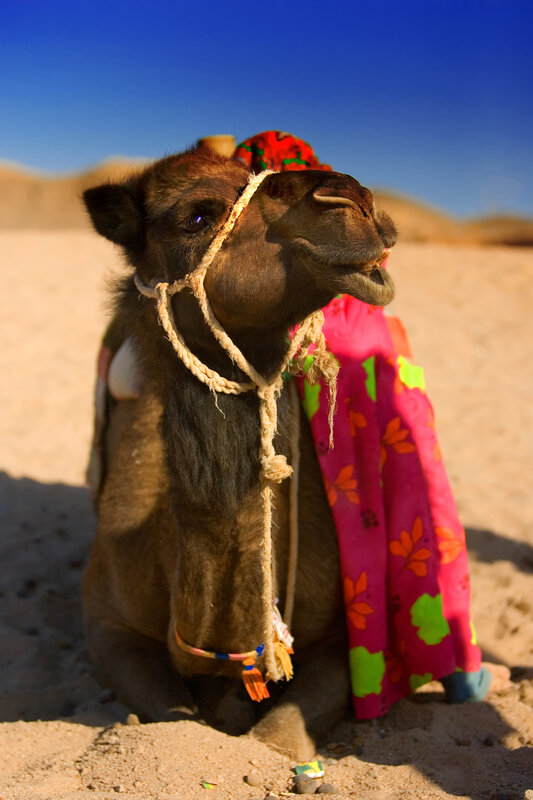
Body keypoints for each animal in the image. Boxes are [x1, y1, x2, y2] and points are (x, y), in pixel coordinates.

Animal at [82, 146, 397, 759]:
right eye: (197, 216)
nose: (352, 200)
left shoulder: (348, 638)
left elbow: (276, 742)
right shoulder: (107, 623)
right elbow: (178, 716)